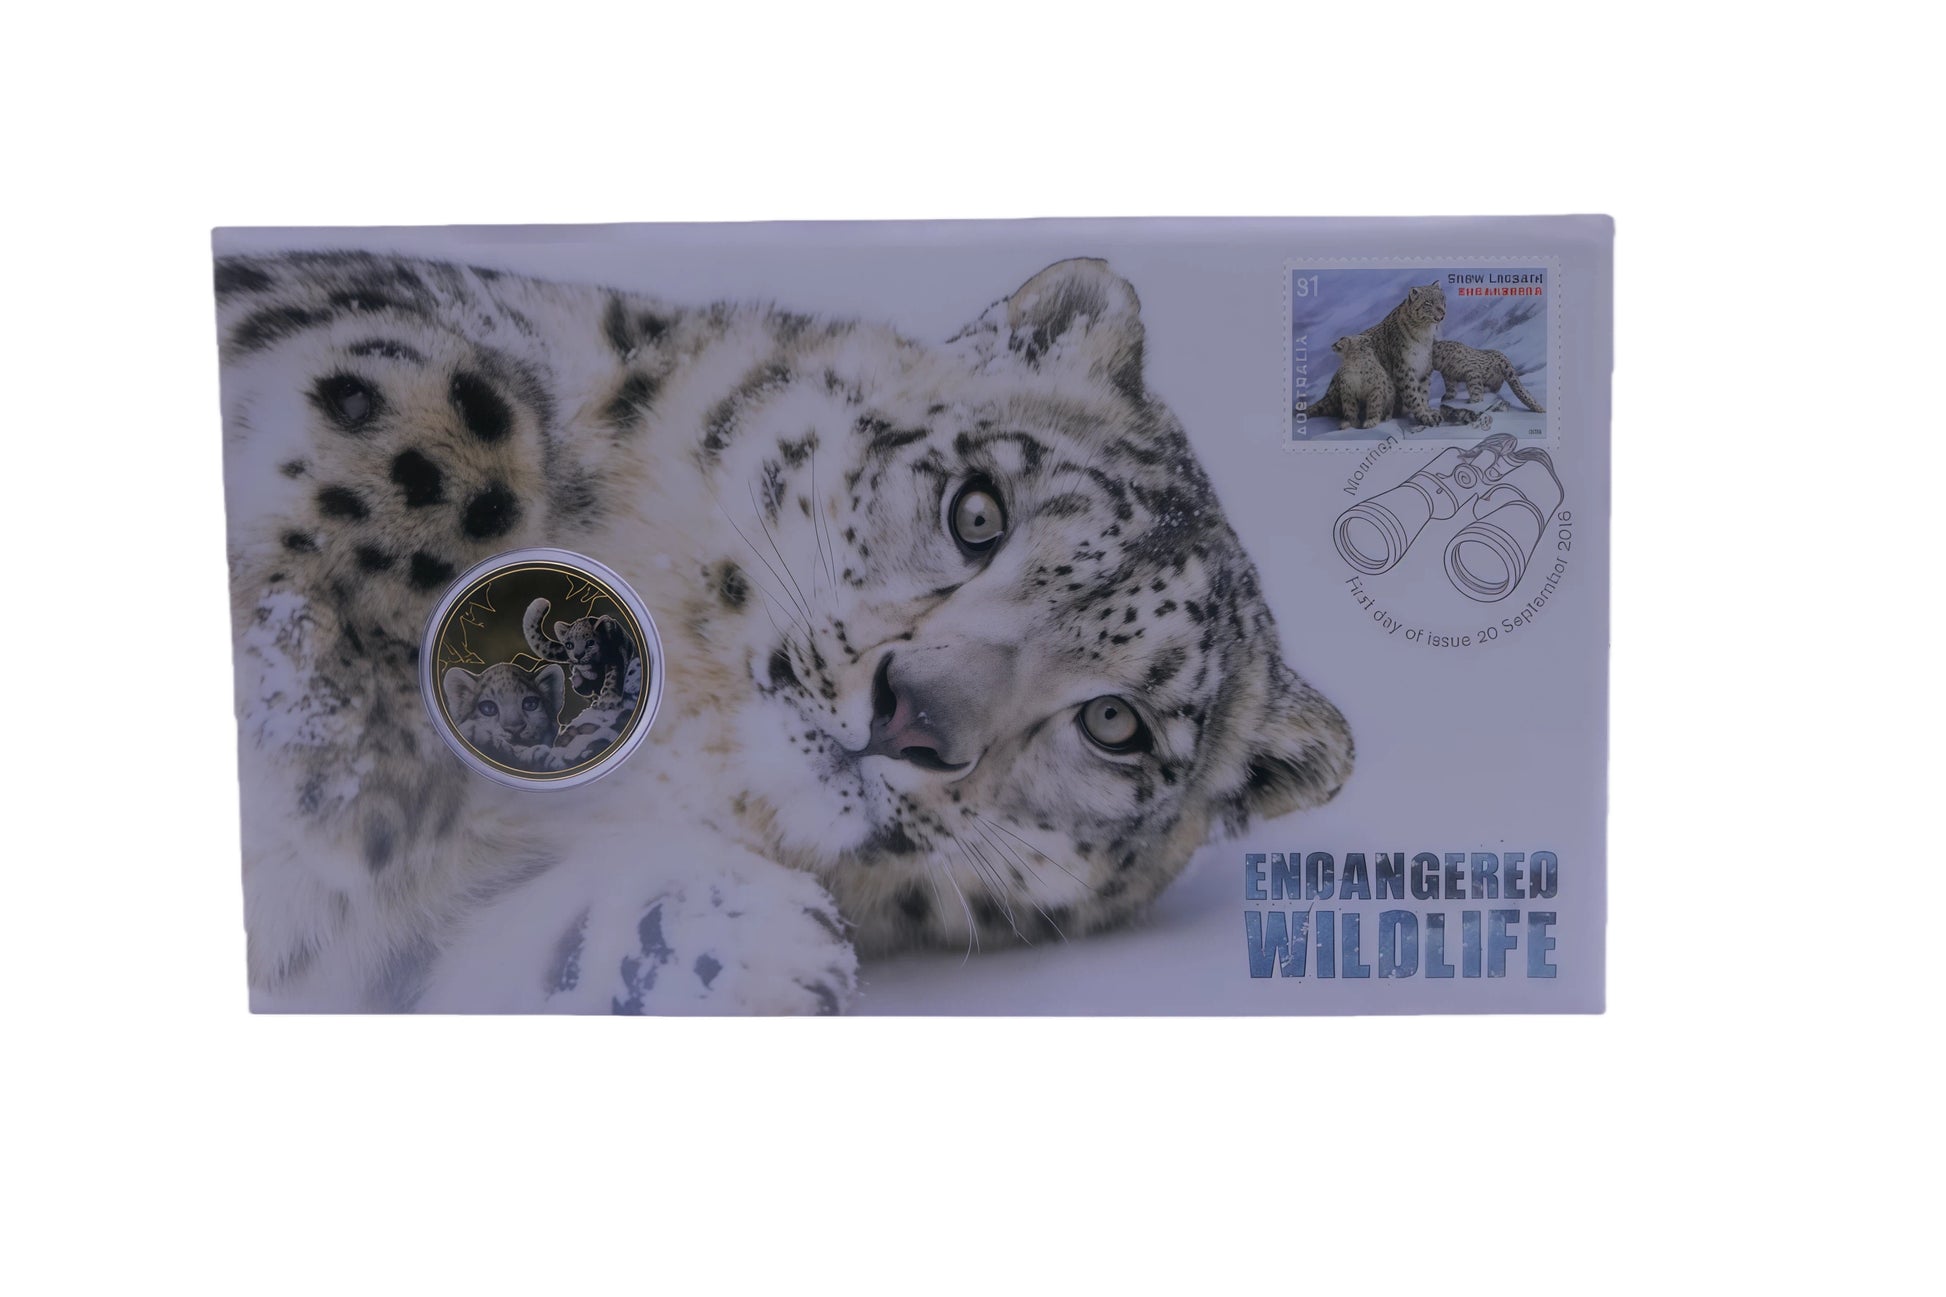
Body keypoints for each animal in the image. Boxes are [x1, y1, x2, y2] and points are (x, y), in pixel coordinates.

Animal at [216, 250, 1354, 1014]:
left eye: (1115, 723)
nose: (911, 714)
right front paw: (338, 746)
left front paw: (739, 941)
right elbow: (442, 406)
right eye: (977, 512)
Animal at [1306, 282, 1447, 430]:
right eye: (1428, 302)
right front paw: (1425, 416)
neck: (1424, 335)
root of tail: (1329, 391)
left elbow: (1423, 393)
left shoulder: (1425, 369)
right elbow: (1413, 395)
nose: (1442, 312)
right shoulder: (1404, 369)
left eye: (1442, 298)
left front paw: (1429, 412)